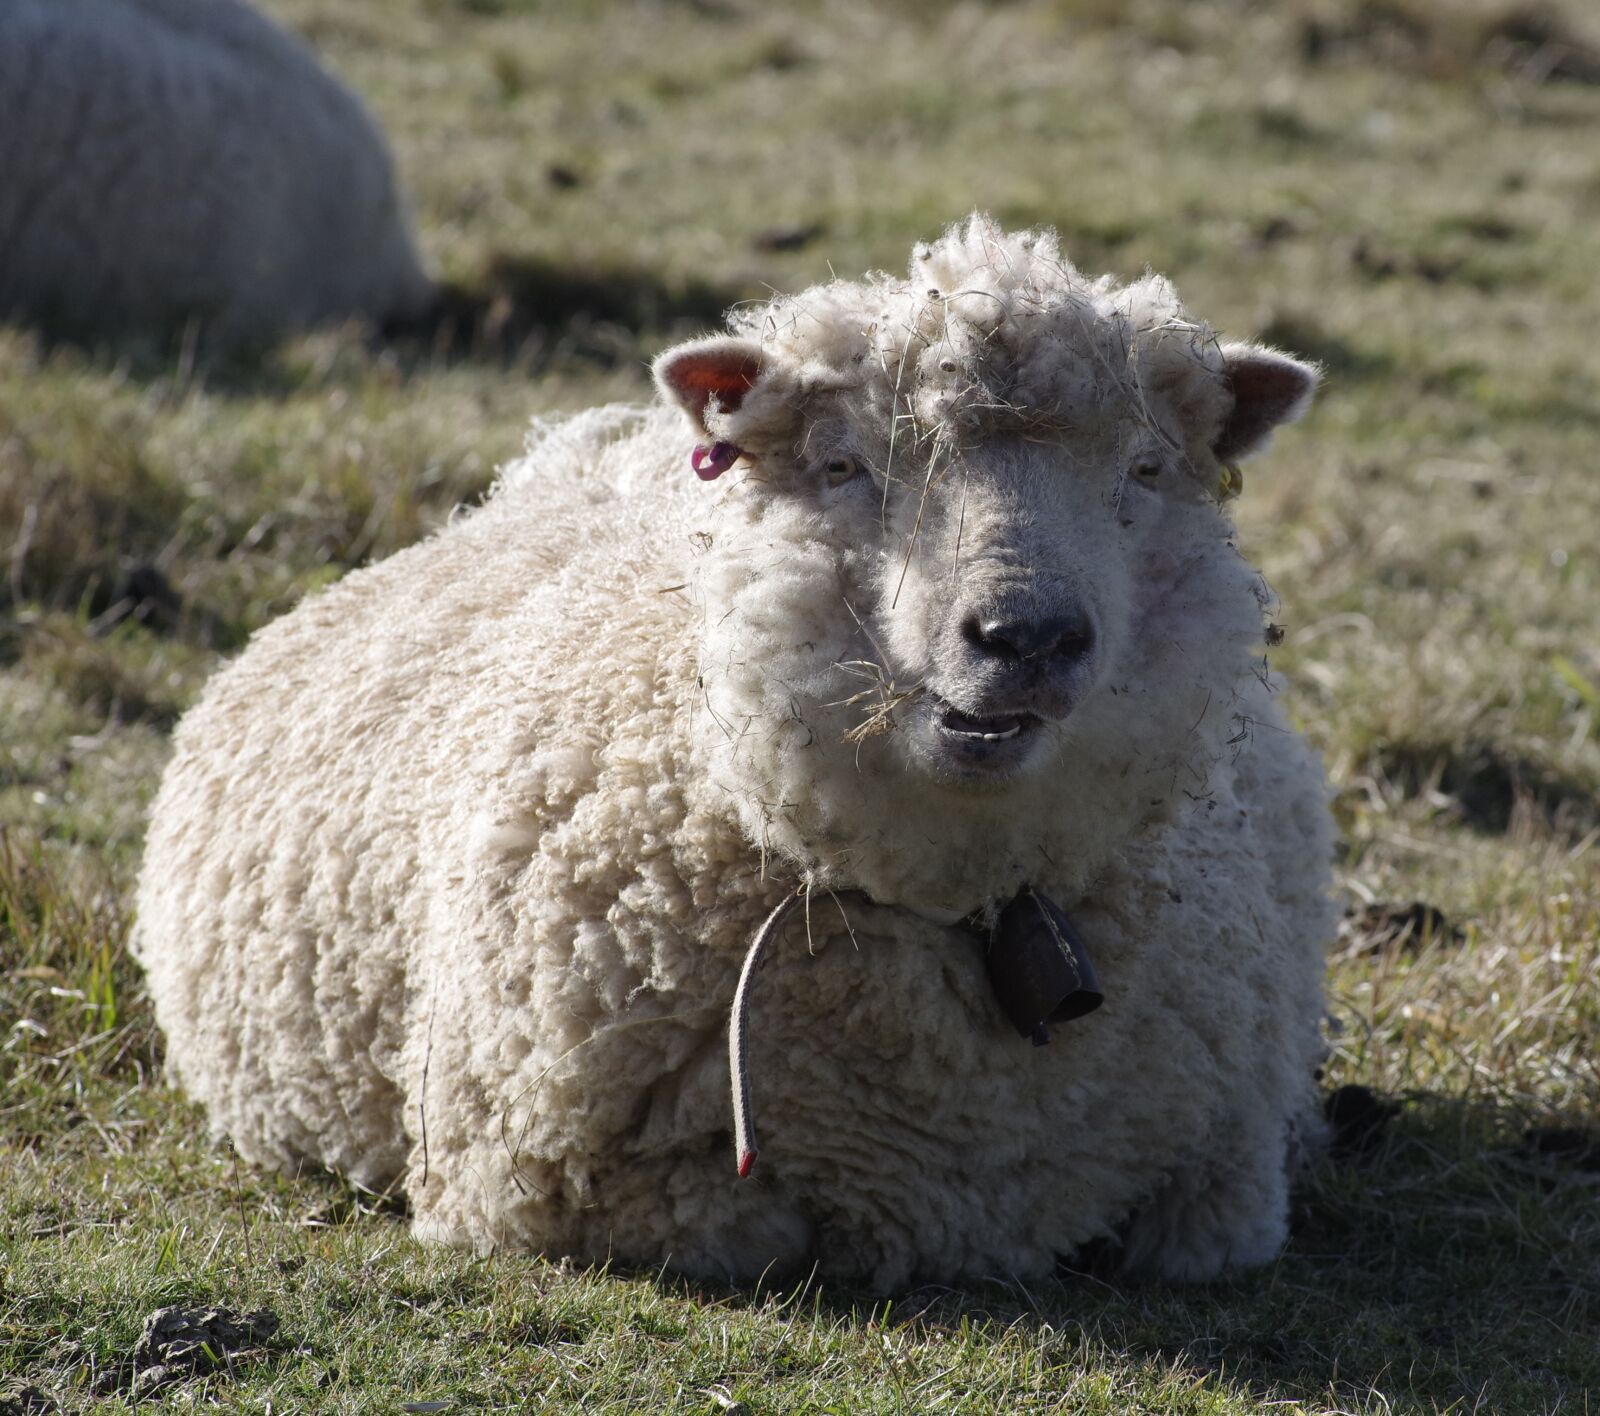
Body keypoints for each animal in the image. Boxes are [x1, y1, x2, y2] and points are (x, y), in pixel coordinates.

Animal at [137, 216, 1337, 1286]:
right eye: (843, 464)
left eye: (1144, 472)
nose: (1027, 637)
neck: (980, 903)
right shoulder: (587, 1191)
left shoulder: (1224, 1184)